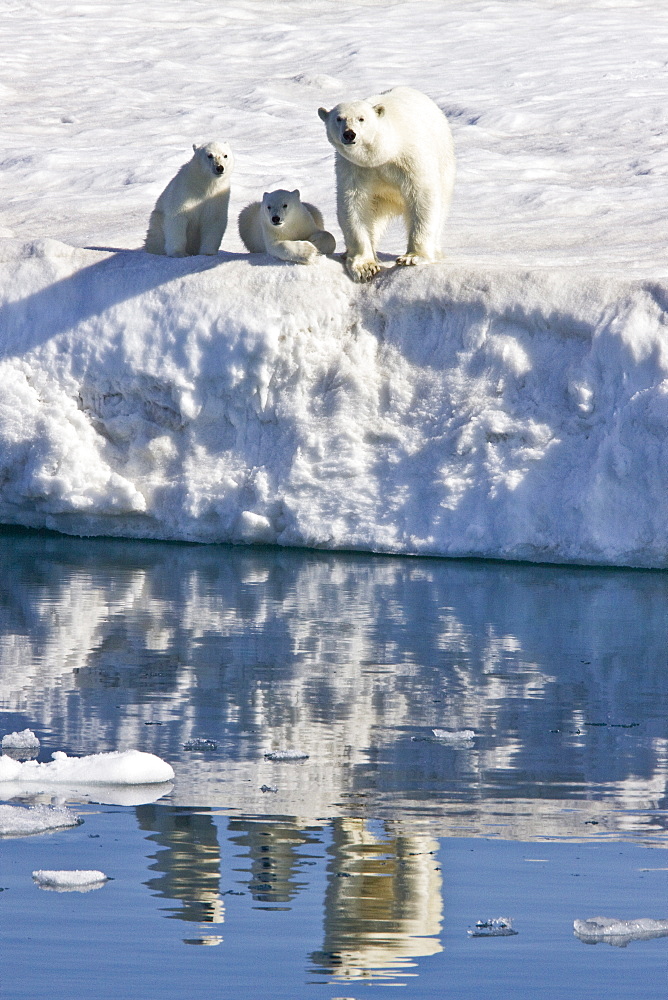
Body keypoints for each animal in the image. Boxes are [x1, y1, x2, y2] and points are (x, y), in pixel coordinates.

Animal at [318, 87, 454, 282]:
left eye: (361, 118)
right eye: (339, 118)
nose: (349, 134)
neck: (384, 152)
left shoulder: (411, 158)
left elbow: (422, 196)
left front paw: (412, 257)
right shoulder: (354, 168)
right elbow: (354, 204)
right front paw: (365, 267)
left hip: (445, 165)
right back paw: (347, 253)